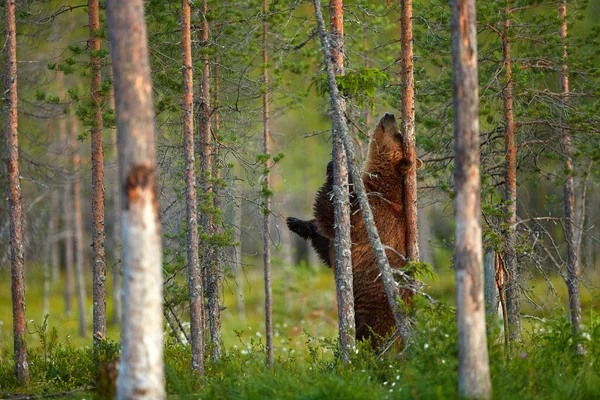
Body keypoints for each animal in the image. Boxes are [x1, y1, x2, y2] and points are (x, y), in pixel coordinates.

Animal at [288, 111, 422, 344]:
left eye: (397, 134)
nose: (390, 114)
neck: (381, 187)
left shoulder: (370, 217)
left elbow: (331, 218)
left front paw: (336, 169)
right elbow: (326, 245)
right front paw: (295, 223)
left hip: (376, 314)